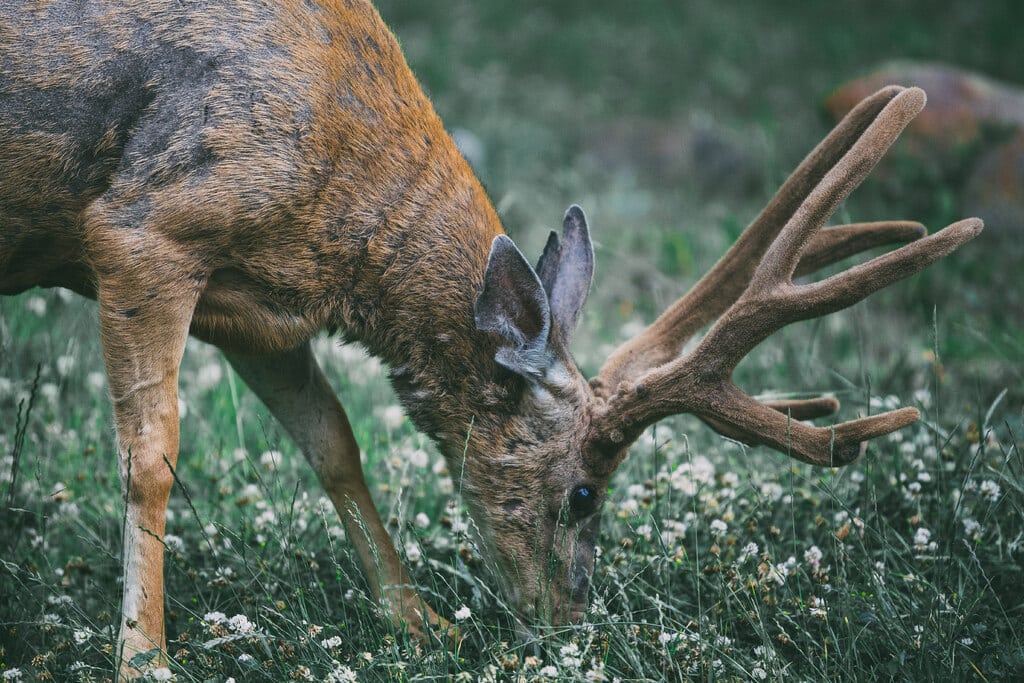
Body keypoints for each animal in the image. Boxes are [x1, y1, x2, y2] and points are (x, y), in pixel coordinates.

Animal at [2, 0, 983, 679]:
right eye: (584, 493)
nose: (567, 624)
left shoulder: (255, 306)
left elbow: (333, 442)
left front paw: (418, 622)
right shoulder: (144, 229)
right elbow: (151, 456)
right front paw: (144, 657)